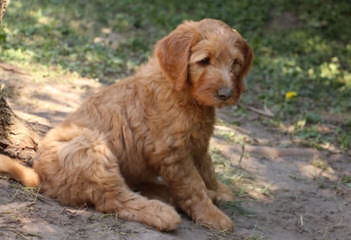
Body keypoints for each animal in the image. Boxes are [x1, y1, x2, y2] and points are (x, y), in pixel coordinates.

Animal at [0, 19, 253, 232]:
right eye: (204, 61)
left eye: (235, 64)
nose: (226, 94)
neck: (185, 94)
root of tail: (42, 176)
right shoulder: (174, 153)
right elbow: (194, 186)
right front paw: (212, 215)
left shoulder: (198, 144)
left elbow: (207, 169)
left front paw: (218, 190)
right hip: (90, 147)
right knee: (113, 198)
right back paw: (161, 212)